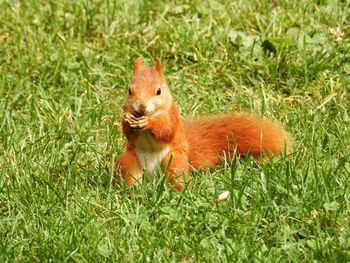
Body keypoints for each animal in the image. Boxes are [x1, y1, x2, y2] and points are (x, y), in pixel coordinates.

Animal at [115, 57, 292, 192]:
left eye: (159, 91)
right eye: (129, 90)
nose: (141, 107)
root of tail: (153, 178)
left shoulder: (172, 115)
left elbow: (166, 130)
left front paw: (148, 122)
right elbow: (127, 131)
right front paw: (128, 119)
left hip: (174, 162)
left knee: (177, 178)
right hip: (129, 161)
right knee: (132, 179)